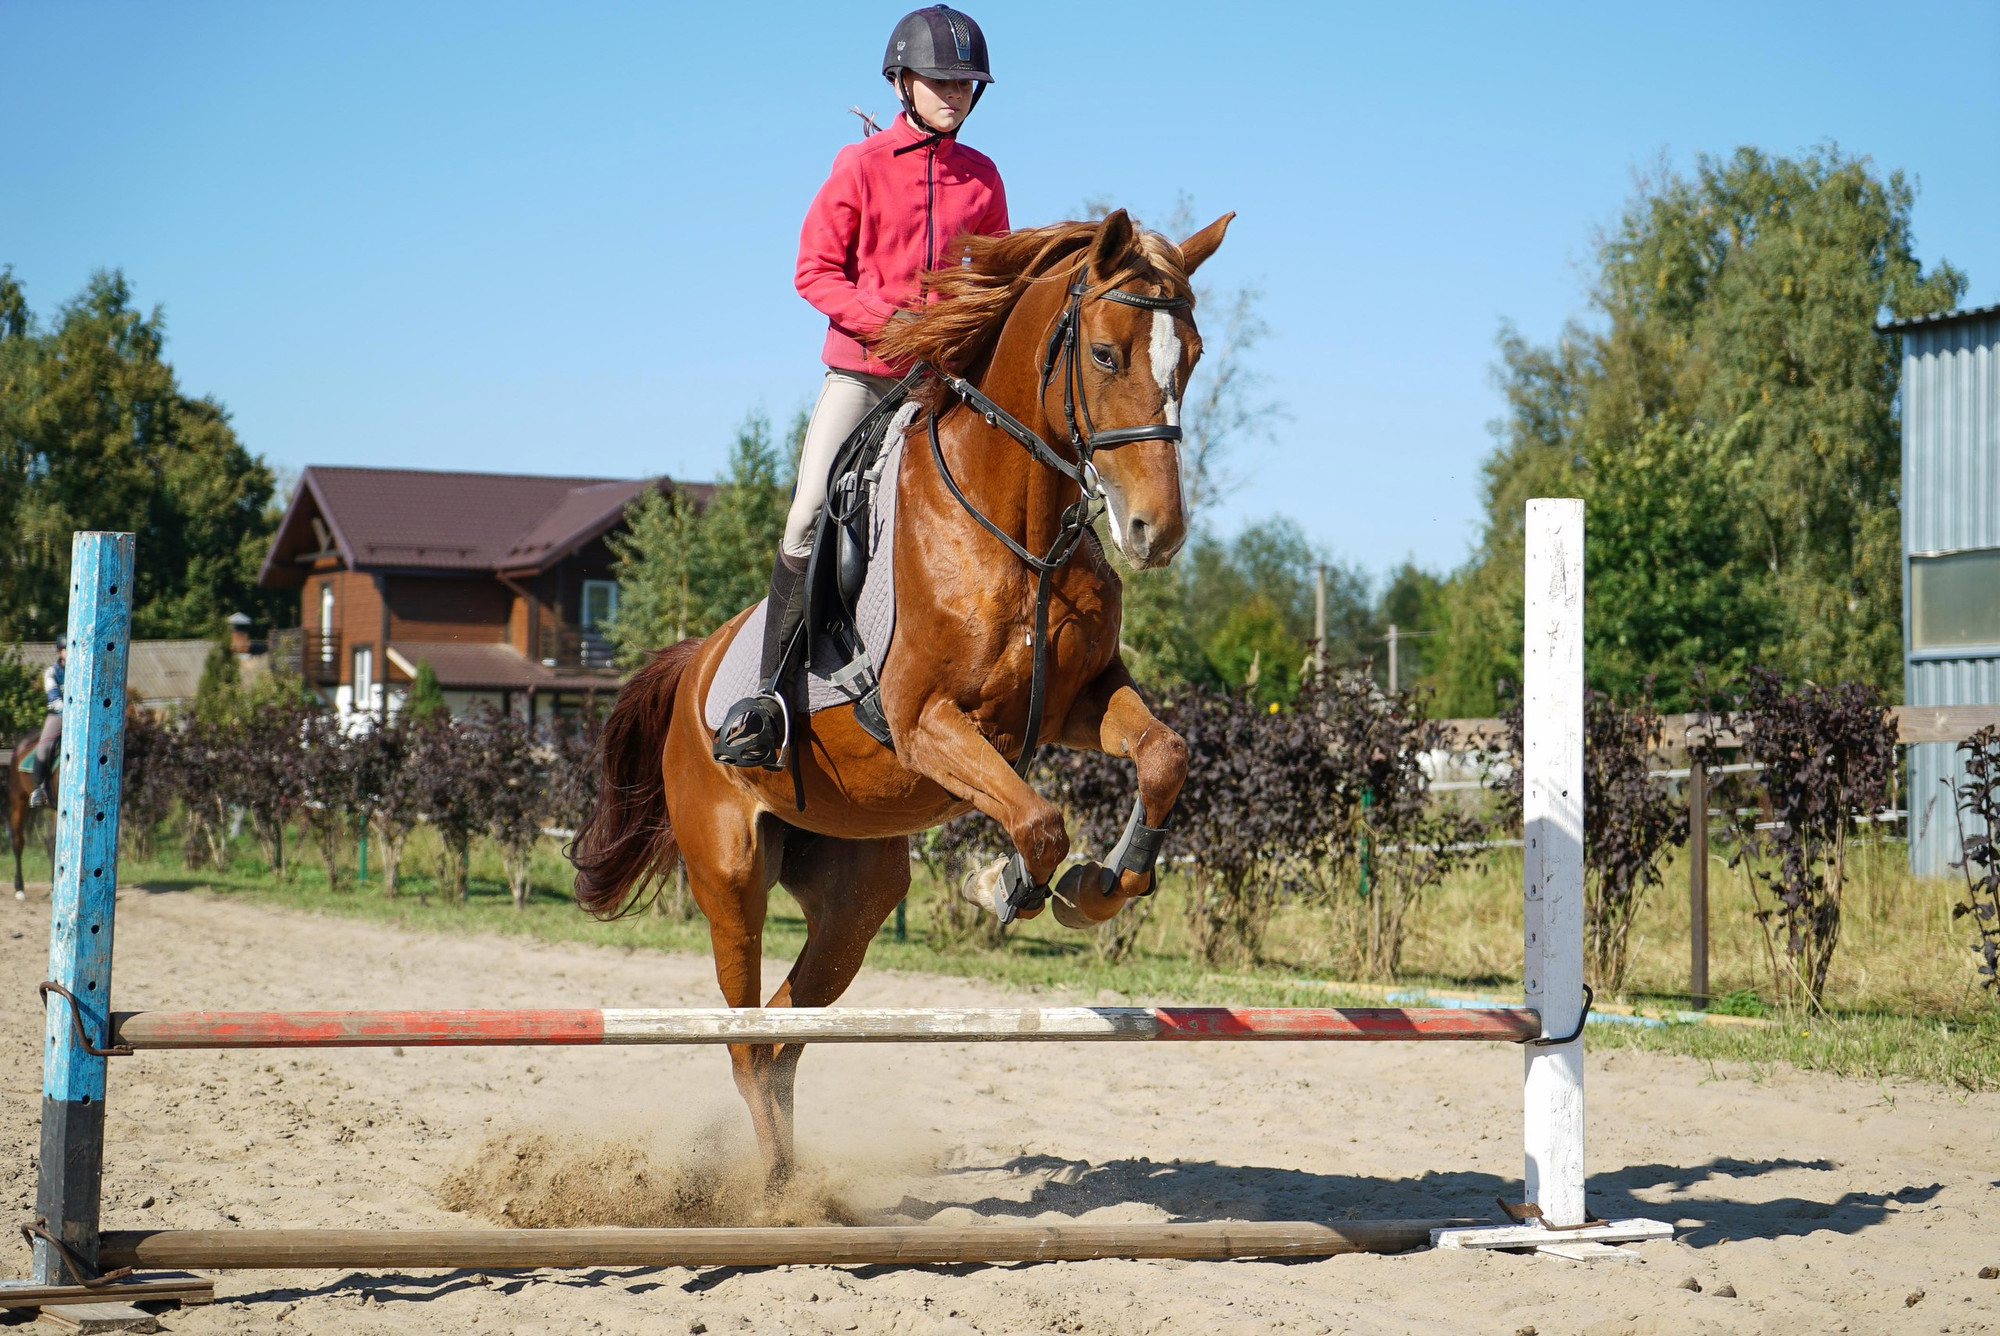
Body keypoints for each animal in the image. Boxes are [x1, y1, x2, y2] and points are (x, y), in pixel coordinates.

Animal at [572, 211, 1232, 1192]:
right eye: (1107, 355)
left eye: (1189, 355)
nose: (1158, 532)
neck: (1016, 525)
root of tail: (693, 667)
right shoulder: (924, 722)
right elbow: (1038, 820)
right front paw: (1007, 883)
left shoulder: (1078, 701)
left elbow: (1163, 756)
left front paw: (1101, 887)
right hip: (730, 873)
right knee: (747, 1039)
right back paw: (776, 1194)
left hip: (858, 894)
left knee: (786, 1031)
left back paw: (800, 1182)